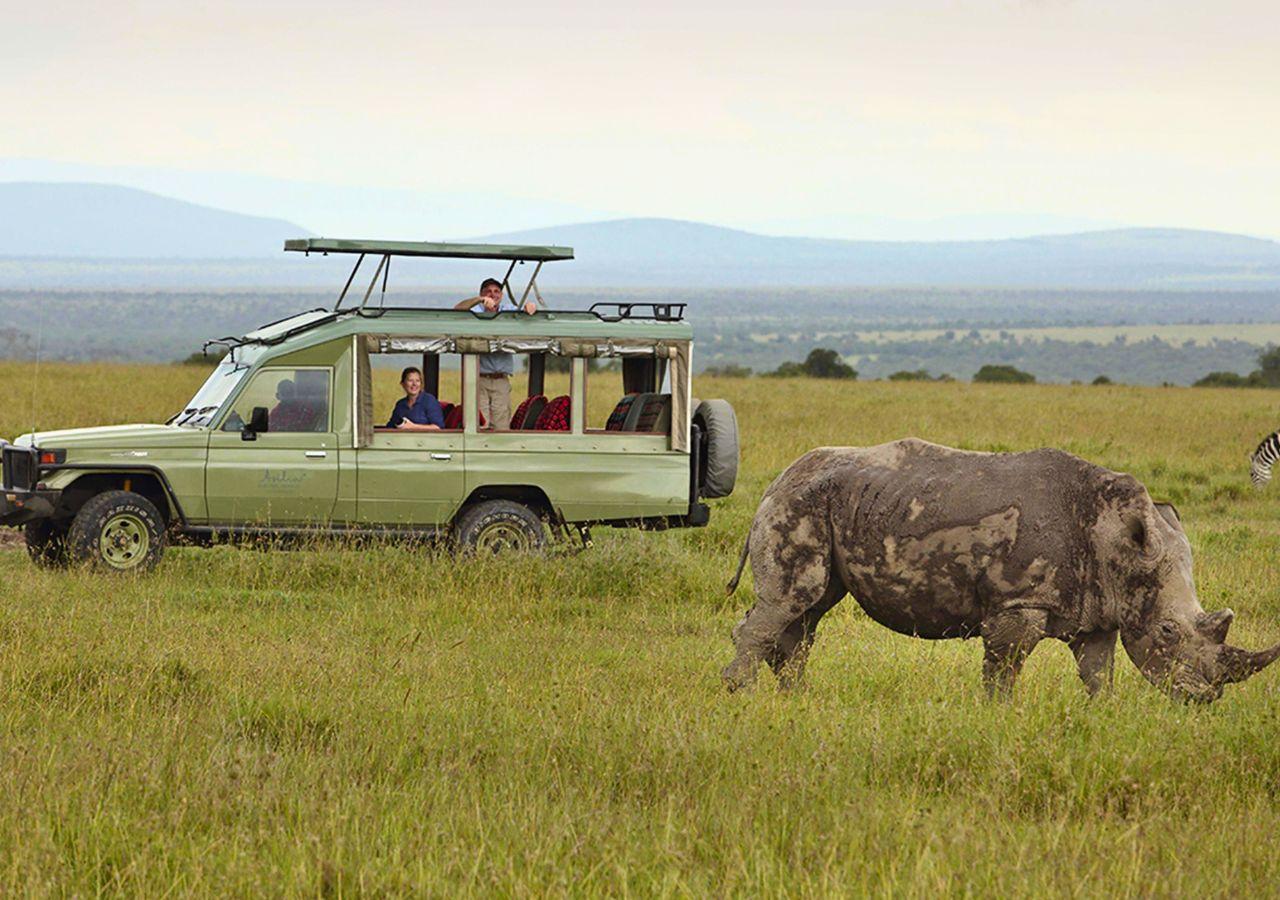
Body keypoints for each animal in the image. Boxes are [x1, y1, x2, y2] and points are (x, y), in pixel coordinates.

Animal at [722, 439, 1280, 702]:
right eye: (1166, 632)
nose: (1202, 698)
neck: (1117, 539)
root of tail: (777, 479)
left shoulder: (1101, 605)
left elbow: (1098, 672)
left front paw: (1104, 715)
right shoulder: (1018, 603)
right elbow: (1004, 669)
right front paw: (998, 716)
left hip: (826, 500)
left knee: (810, 609)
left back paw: (795, 698)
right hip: (798, 504)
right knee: (792, 599)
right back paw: (742, 697)